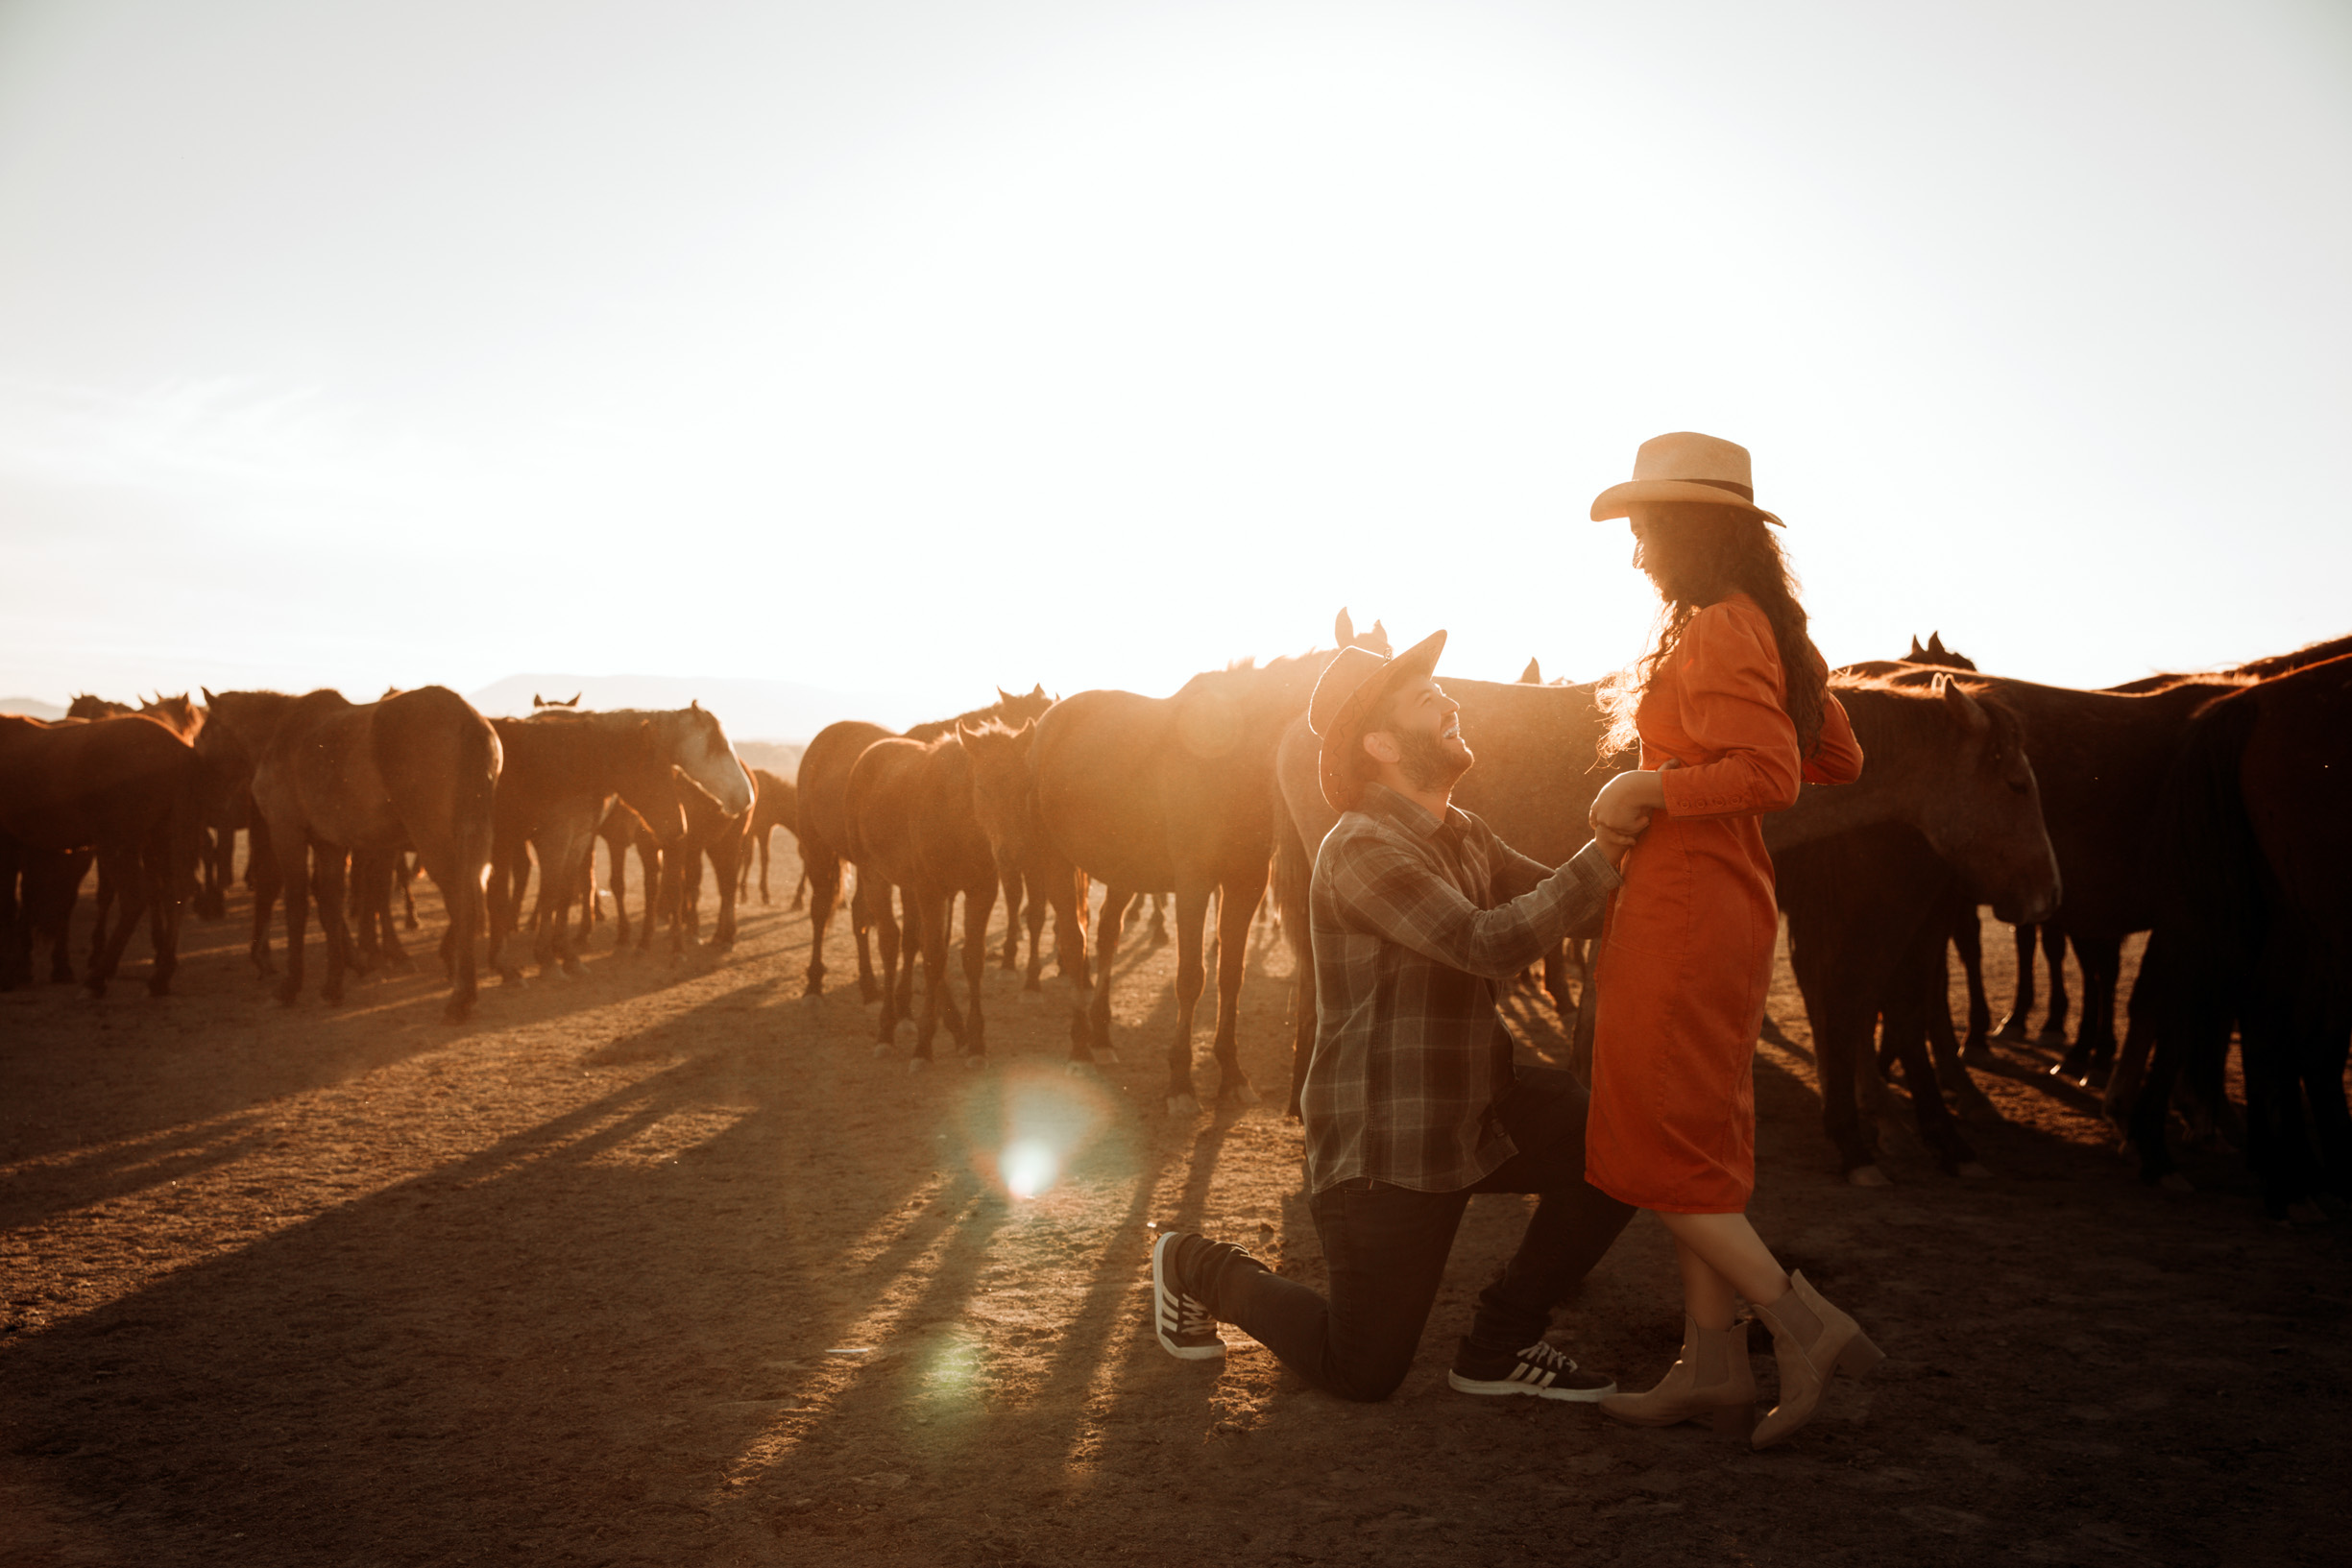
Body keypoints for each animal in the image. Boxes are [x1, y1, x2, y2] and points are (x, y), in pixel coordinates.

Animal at [0, 710, 198, 992]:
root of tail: (179, 750)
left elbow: (9, 902)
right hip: (161, 838)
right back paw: (160, 975)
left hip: (117, 844)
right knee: (173, 894)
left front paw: (11, 971)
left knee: (135, 898)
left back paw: (99, 976)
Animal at [203, 682, 500, 1020]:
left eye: (203, 734)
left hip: (431, 838)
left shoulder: (287, 832)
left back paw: (461, 994)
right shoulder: (328, 844)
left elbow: (297, 907)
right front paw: (334, 984)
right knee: (472, 892)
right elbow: (330, 907)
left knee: (461, 900)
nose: (211, 804)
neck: (280, 733)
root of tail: (465, 717)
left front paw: (290, 986)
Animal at [1039, 606, 1383, 1109]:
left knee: (1106, 935)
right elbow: (1191, 978)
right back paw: (1081, 1046)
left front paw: (1232, 1073)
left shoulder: (1246, 883)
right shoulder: (1194, 884)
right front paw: (1181, 1081)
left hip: (1123, 869)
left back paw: (1101, 1036)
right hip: (1058, 863)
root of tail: (1050, 719)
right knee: (1074, 939)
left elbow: (1230, 976)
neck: (1230, 760)